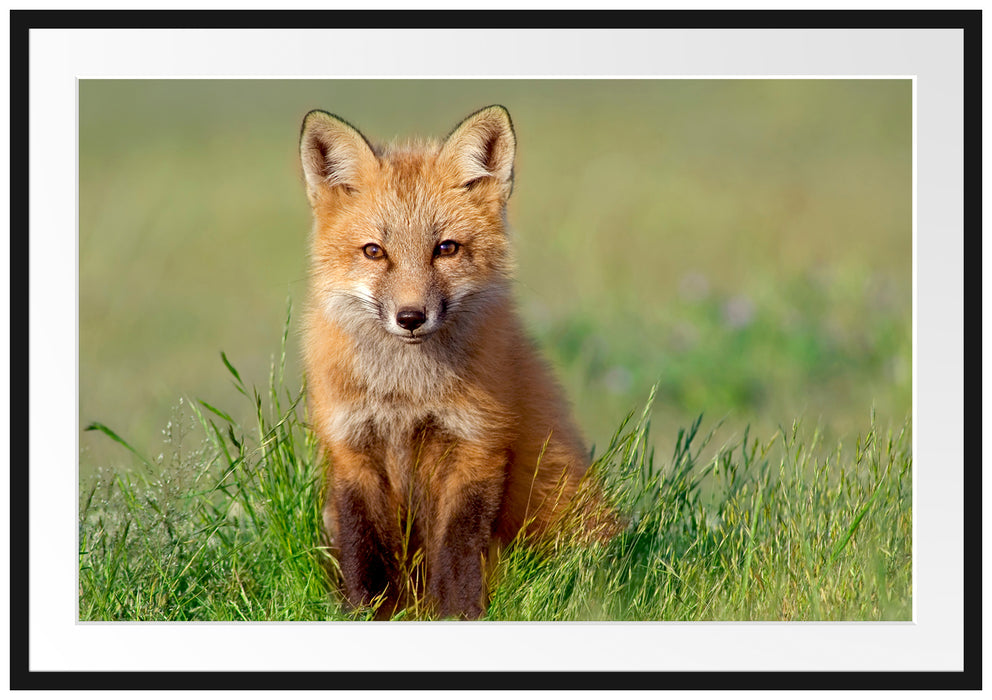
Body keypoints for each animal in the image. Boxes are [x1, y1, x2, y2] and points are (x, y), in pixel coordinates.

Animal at [299, 105, 611, 620]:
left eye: (445, 248)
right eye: (374, 251)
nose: (410, 317)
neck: (406, 395)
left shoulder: (477, 445)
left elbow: (458, 553)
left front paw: (458, 615)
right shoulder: (351, 449)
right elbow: (364, 553)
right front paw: (364, 613)